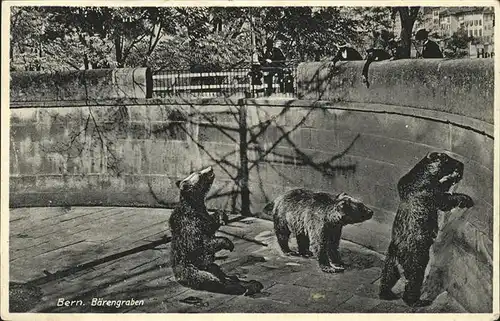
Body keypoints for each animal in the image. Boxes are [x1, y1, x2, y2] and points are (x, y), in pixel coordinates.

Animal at [169, 166, 264, 294]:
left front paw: (222, 217)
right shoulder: (190, 224)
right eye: (200, 174)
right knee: (211, 279)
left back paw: (246, 282)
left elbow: (211, 223)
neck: (195, 205)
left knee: (219, 271)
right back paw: (241, 287)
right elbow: (201, 244)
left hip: (207, 267)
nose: (210, 168)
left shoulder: (203, 216)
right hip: (191, 270)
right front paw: (228, 243)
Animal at [378, 151, 472, 306]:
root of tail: (399, 253)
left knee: (388, 275)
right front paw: (464, 196)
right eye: (446, 159)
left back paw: (386, 293)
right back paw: (417, 301)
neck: (417, 177)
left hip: (390, 260)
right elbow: (445, 199)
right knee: (413, 280)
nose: (460, 164)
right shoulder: (430, 192)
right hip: (417, 258)